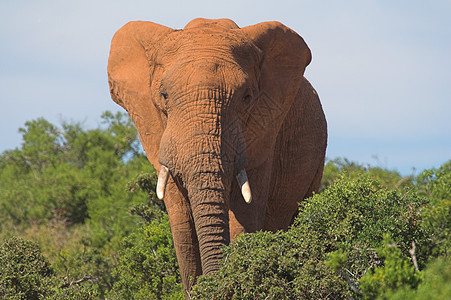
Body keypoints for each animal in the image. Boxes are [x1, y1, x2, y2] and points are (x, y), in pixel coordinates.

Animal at [109, 17, 328, 294]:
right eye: (164, 96)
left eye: (247, 97)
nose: (212, 282)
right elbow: (182, 226)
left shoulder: (265, 132)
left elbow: (244, 215)